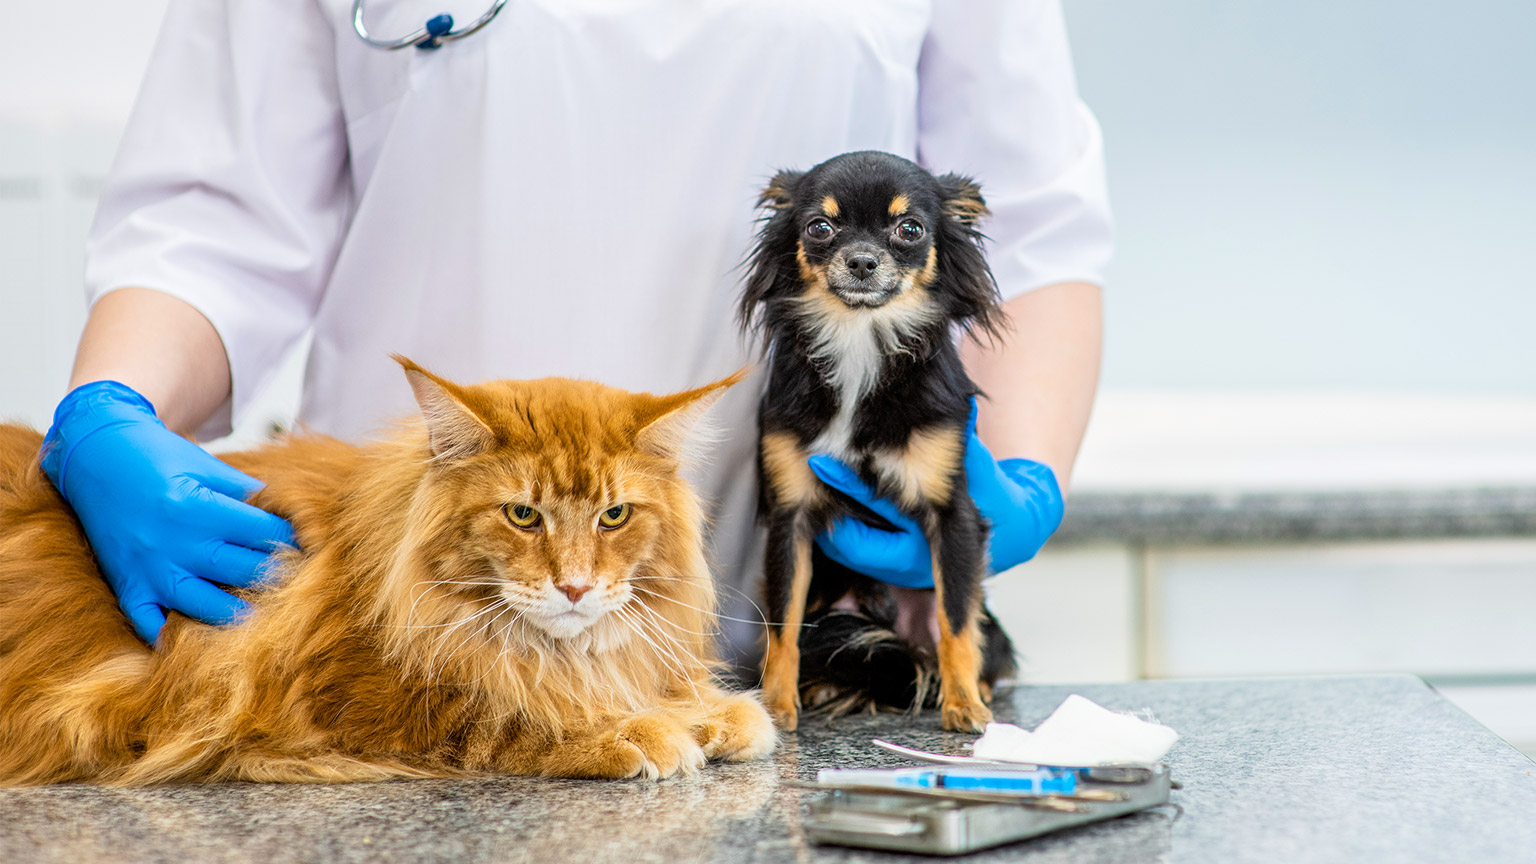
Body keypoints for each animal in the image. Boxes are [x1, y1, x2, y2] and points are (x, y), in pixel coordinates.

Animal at [0, 353, 774, 784]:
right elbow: (511, 713)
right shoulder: (353, 702)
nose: (576, 586)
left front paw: (713, 712)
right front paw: (637, 730)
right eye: (523, 515)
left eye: (614, 516)